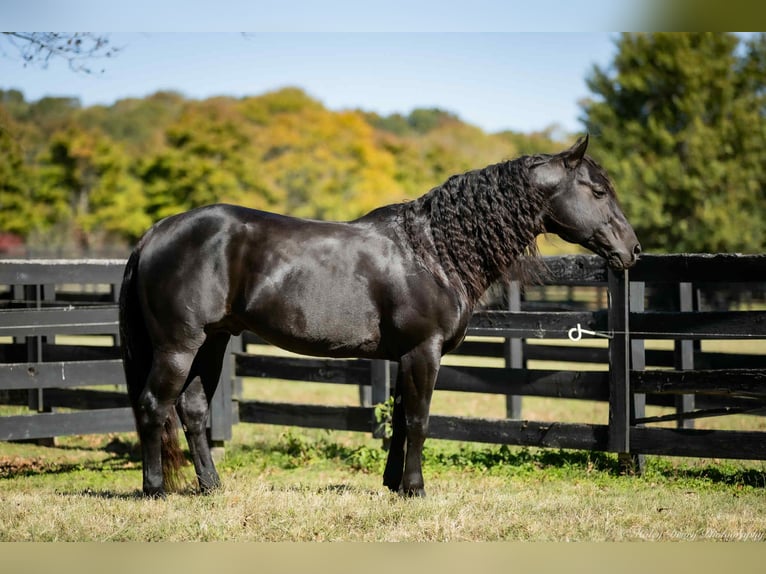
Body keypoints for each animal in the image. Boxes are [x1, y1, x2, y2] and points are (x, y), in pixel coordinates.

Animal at [119, 135, 641, 498]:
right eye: (597, 190)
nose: (632, 251)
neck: (433, 250)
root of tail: (156, 232)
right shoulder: (423, 352)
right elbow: (419, 420)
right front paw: (416, 489)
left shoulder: (404, 355)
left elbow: (401, 419)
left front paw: (394, 485)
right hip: (179, 346)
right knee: (152, 405)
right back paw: (155, 489)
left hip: (212, 342)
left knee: (192, 410)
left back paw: (211, 487)